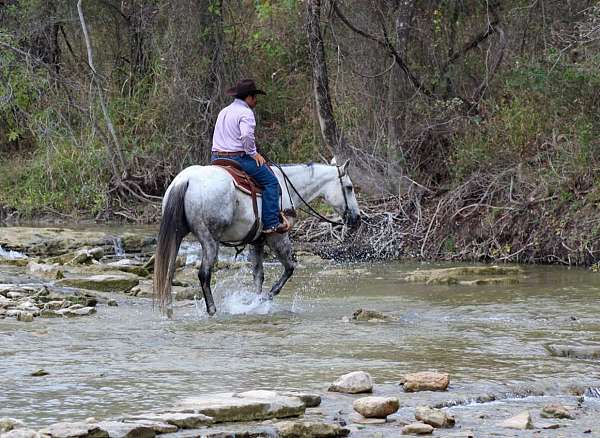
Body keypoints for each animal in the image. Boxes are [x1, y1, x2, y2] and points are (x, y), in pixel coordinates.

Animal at [155, 159, 360, 316]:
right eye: (349, 187)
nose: (357, 219)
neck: (285, 187)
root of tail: (186, 180)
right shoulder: (277, 236)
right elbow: (289, 268)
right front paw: (263, 300)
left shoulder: (257, 241)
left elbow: (258, 276)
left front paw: (256, 301)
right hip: (210, 239)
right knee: (204, 274)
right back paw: (212, 310)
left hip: (177, 236)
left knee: (168, 272)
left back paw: (168, 310)